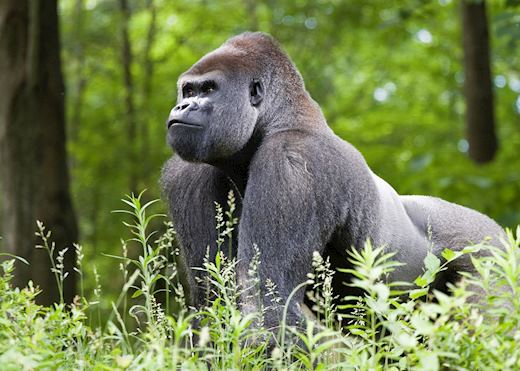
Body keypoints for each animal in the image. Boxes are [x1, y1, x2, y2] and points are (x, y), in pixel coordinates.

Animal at [160, 32, 506, 332]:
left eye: (208, 90)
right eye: (188, 91)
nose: (182, 106)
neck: (278, 119)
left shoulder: (292, 162)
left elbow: (269, 305)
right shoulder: (189, 174)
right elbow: (213, 301)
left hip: (489, 249)